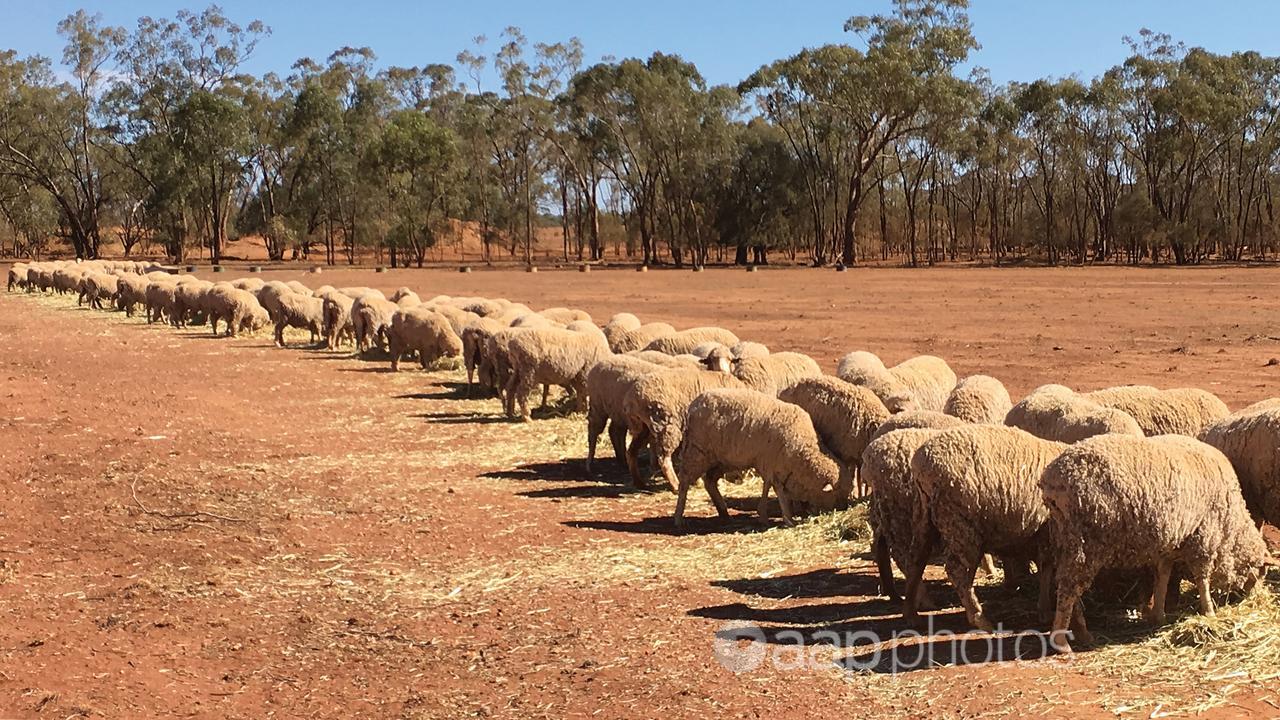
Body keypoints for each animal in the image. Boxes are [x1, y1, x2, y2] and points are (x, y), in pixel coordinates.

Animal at [670, 386, 849, 527]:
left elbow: (773, 487)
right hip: (697, 451)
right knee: (684, 481)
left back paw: (724, 512)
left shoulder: (778, 466)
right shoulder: (769, 463)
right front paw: (783, 517)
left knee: (710, 481)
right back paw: (678, 517)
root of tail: (693, 404)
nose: (843, 508)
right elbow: (774, 488)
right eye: (836, 493)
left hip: (722, 459)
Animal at [901, 422, 1070, 630]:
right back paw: (980, 618)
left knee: (915, 560)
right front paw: (1045, 611)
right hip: (960, 524)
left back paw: (911, 613)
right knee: (957, 571)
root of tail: (922, 463)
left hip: (924, 516)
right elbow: (1046, 568)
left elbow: (1044, 568)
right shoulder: (1047, 533)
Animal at [1039, 430, 1269, 650]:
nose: (1255, 599)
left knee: (1066, 584)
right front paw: (1209, 612)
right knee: (1069, 587)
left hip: (1064, 536)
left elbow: (1163, 576)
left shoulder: (1171, 542)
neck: (1231, 526)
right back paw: (1061, 641)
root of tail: (1053, 478)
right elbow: (1201, 578)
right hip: (1088, 540)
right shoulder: (1203, 535)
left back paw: (1082, 633)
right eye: (1260, 572)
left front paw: (1159, 615)